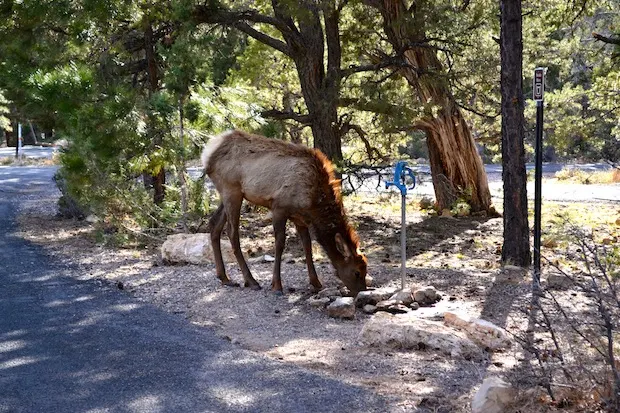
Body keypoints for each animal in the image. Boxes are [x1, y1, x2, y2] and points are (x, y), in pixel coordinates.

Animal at [202, 130, 368, 294]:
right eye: (357, 272)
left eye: (366, 270)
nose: (361, 292)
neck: (313, 204)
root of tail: (208, 152)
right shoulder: (279, 207)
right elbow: (280, 244)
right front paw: (276, 285)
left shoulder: (299, 218)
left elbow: (307, 246)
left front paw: (316, 282)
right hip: (232, 190)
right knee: (232, 232)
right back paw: (251, 281)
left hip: (228, 194)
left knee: (214, 224)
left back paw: (224, 277)